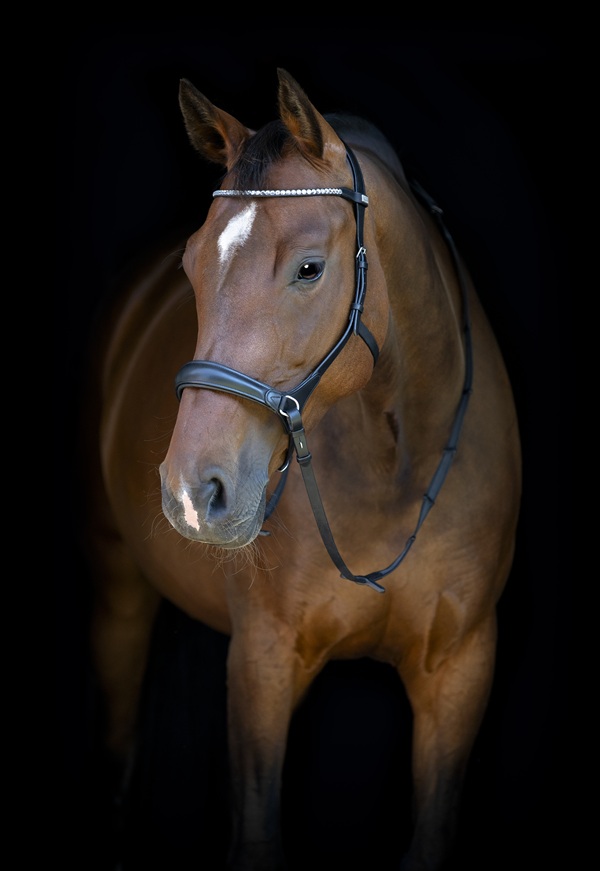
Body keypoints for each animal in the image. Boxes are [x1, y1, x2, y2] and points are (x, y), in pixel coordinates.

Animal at [81, 68, 521, 871]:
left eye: (309, 268)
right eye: (192, 265)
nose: (193, 493)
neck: (396, 461)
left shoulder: (461, 667)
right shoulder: (262, 660)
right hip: (117, 594)